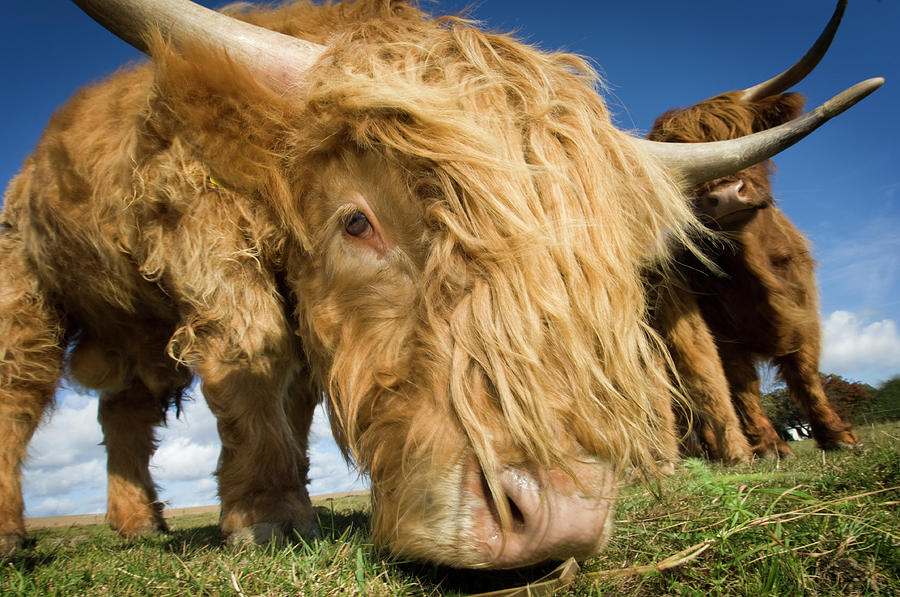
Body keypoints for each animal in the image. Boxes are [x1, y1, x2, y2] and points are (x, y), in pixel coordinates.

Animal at [648, 0, 856, 458]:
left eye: (743, 133)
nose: (725, 196)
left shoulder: (805, 312)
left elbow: (807, 373)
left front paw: (838, 435)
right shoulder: (721, 334)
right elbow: (742, 386)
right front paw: (770, 446)